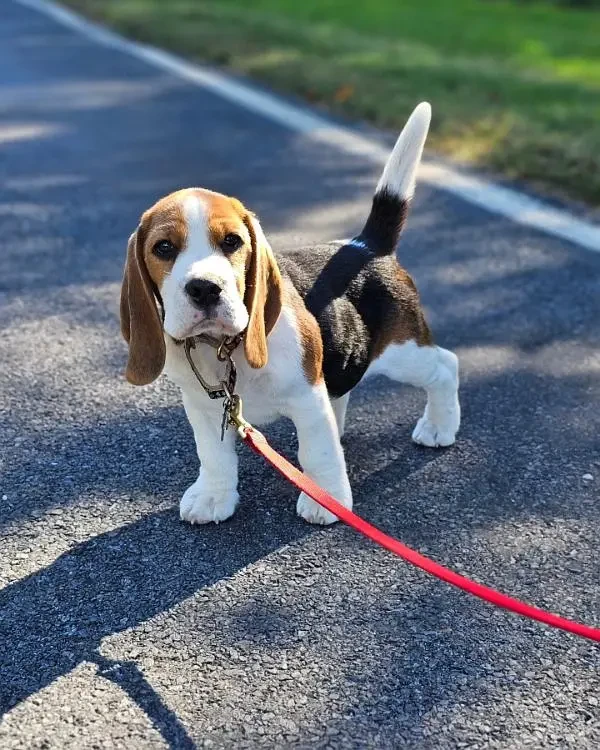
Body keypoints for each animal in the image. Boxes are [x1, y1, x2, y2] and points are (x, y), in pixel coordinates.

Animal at [120, 103, 460, 524]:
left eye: (232, 241)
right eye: (163, 248)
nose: (204, 288)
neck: (224, 349)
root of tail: (365, 246)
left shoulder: (306, 397)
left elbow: (316, 452)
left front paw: (325, 497)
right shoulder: (202, 406)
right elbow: (213, 455)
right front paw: (214, 496)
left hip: (403, 352)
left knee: (445, 365)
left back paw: (439, 425)